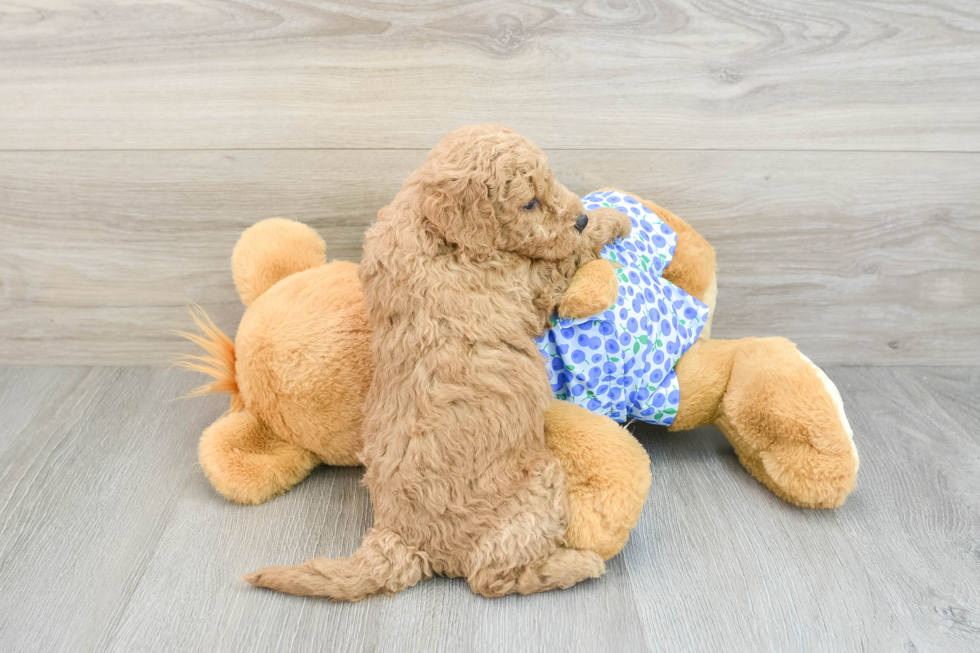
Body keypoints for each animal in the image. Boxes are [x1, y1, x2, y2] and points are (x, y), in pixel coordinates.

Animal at [245, 125, 628, 600]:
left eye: (550, 181)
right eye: (529, 203)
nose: (578, 219)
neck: (434, 227)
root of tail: (398, 538)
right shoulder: (527, 283)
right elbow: (563, 258)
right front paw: (611, 220)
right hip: (538, 483)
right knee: (492, 576)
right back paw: (577, 565)